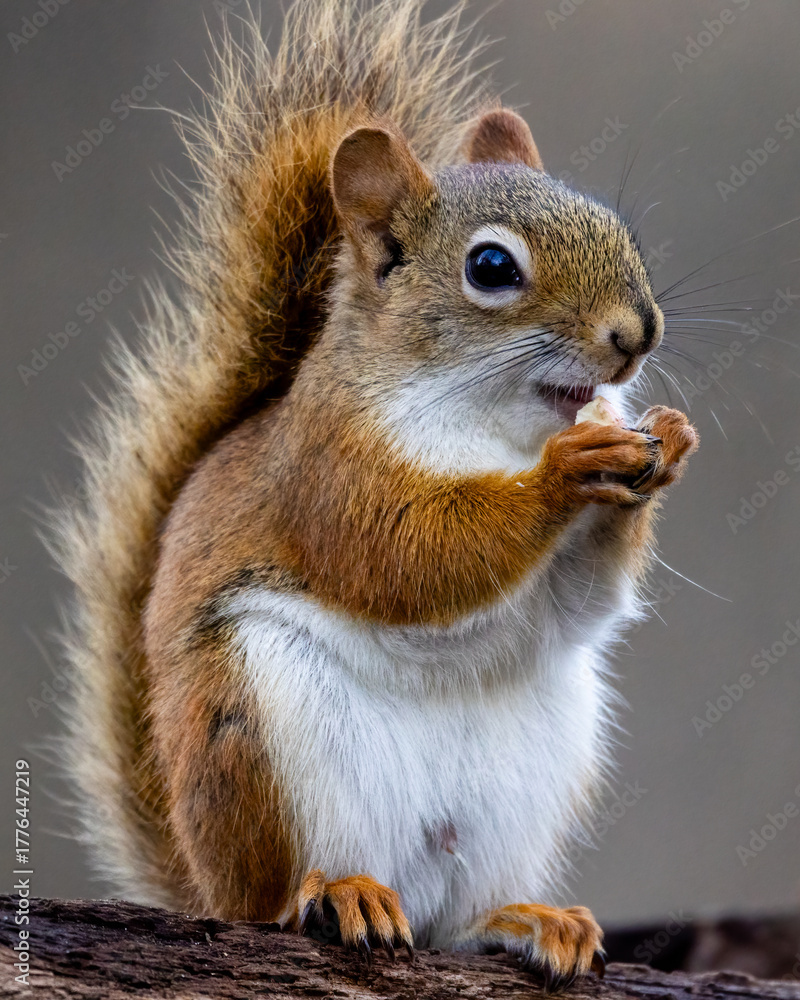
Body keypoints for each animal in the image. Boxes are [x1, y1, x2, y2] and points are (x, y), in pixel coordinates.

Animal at [50, 0, 699, 990]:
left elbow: (582, 601)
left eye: (611, 225)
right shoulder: (330, 472)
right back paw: (339, 893)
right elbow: (410, 556)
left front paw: (667, 445)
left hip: (530, 777)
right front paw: (564, 473)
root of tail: (206, 884)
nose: (638, 334)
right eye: (492, 268)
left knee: (456, 921)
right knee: (281, 899)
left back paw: (526, 918)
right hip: (263, 731)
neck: (495, 425)